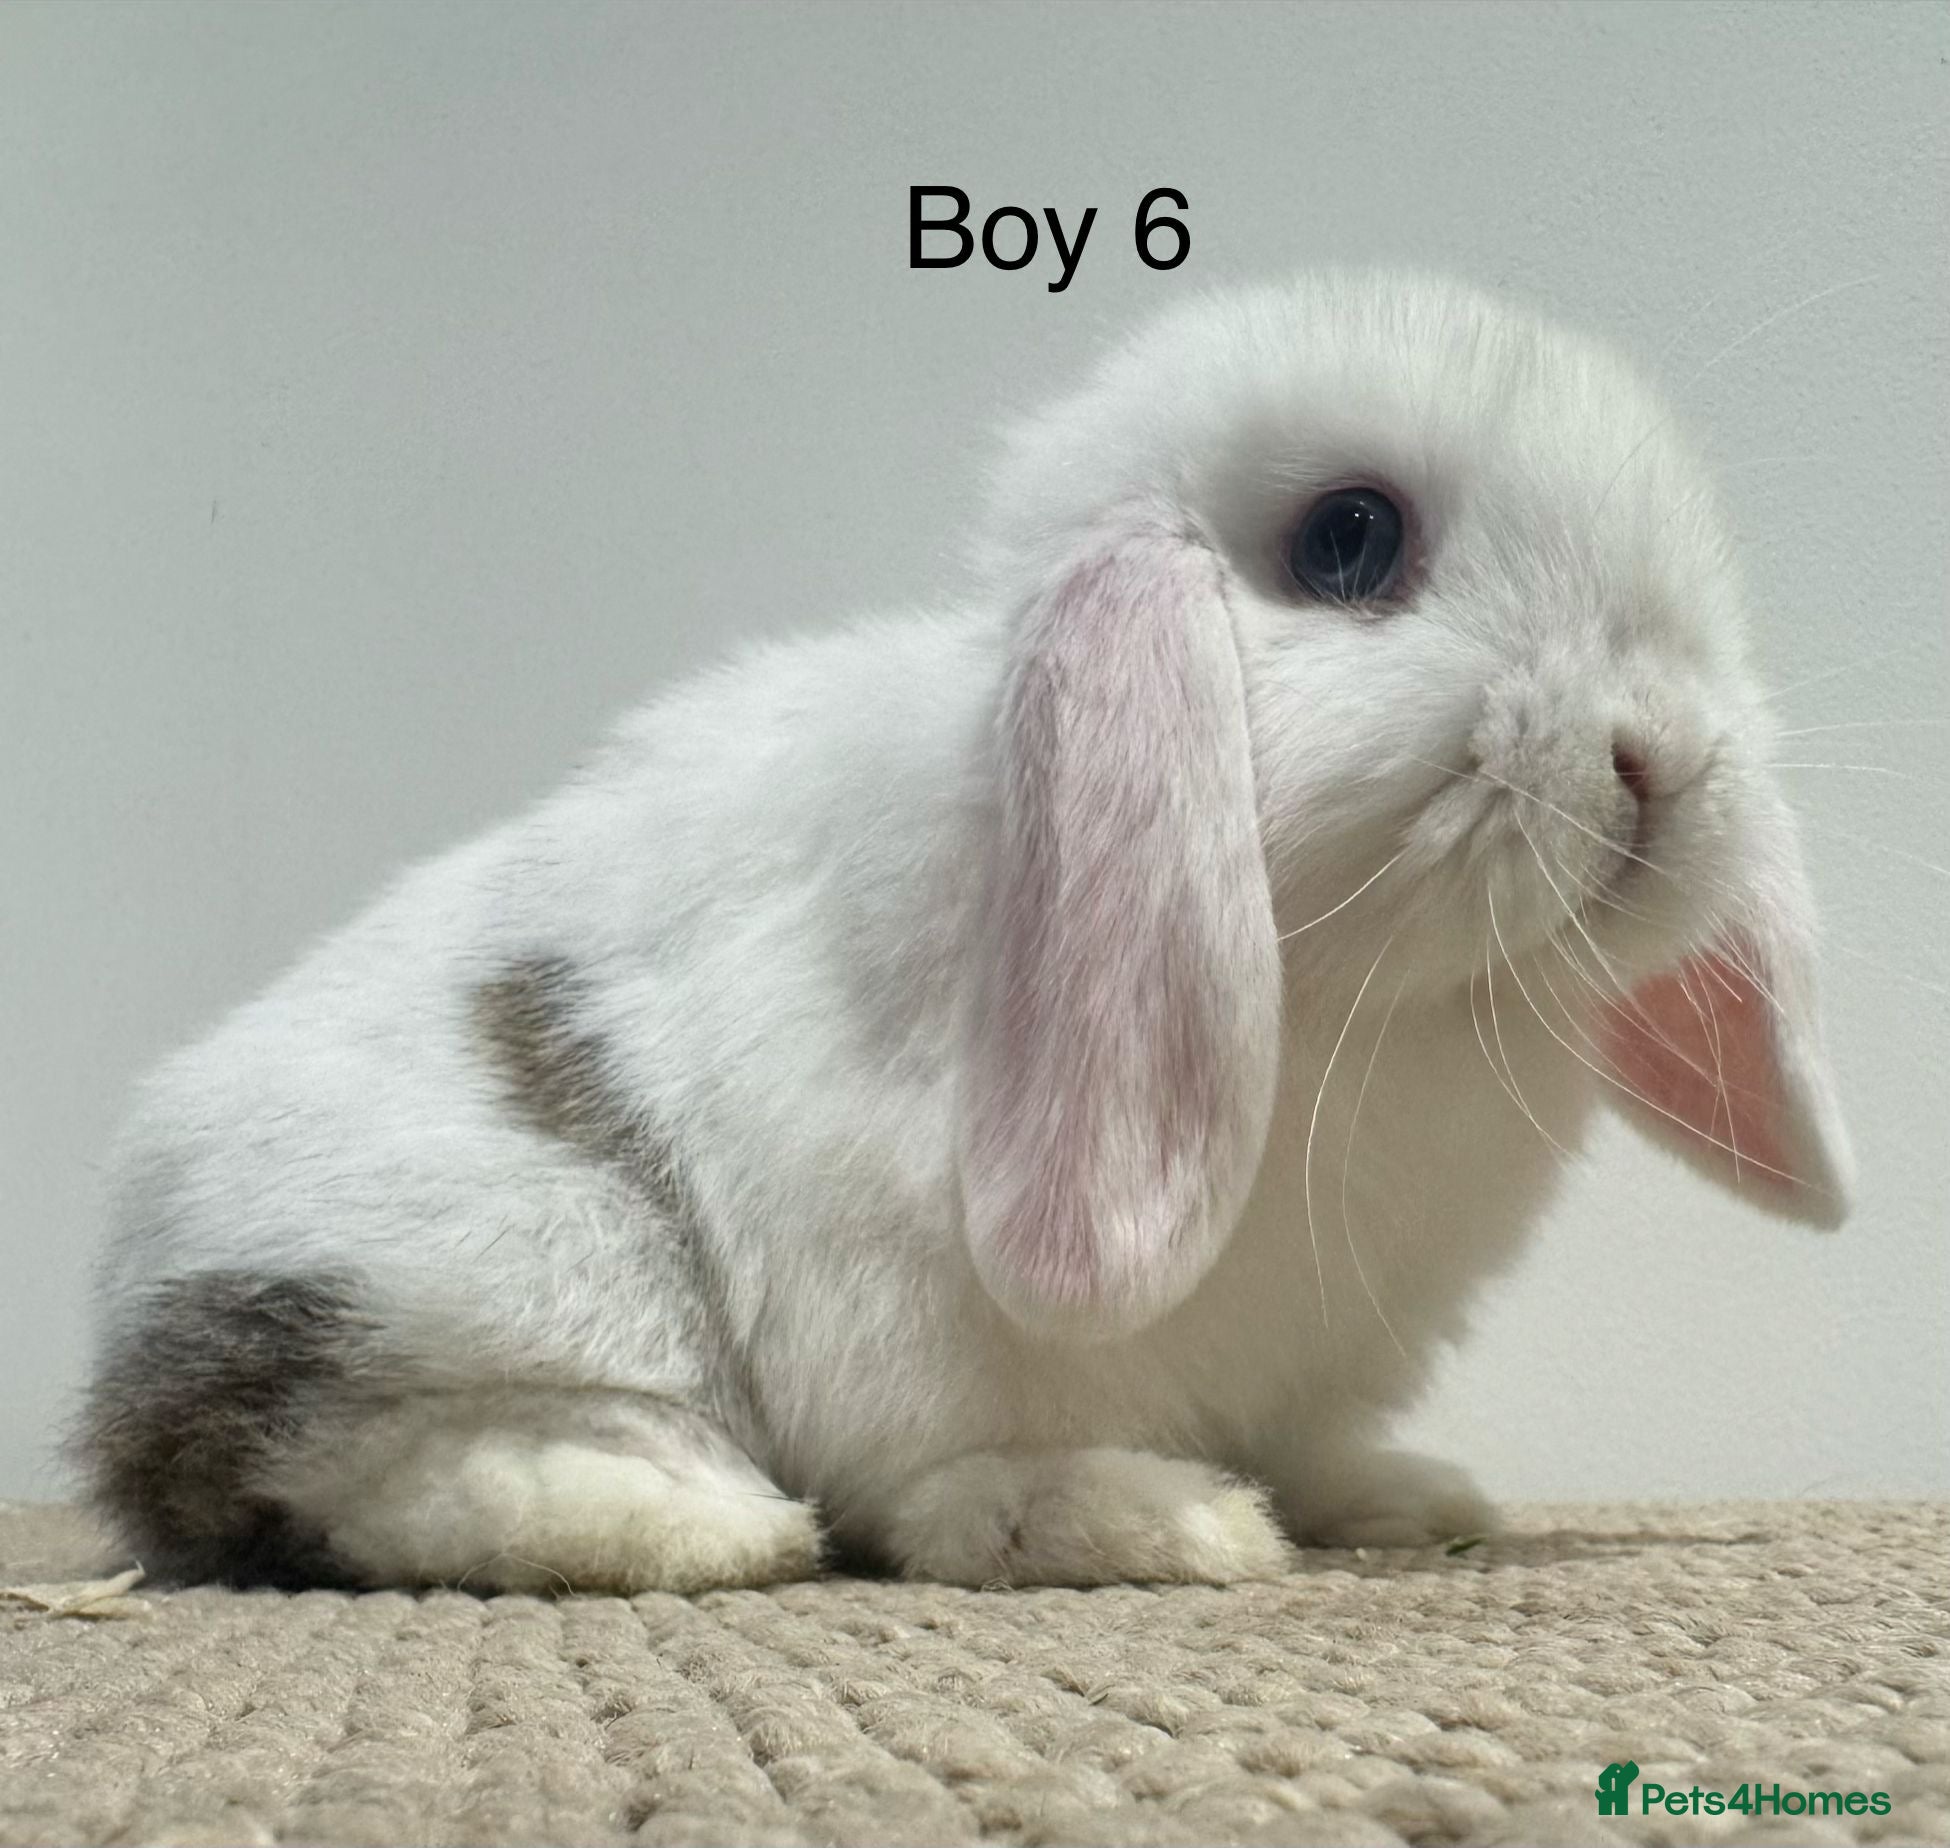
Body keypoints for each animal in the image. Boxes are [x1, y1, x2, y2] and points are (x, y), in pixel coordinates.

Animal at [77, 271, 1854, 1593]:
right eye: (1349, 540)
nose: (1659, 756)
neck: (1364, 991)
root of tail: (132, 1342)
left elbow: (1303, 1437)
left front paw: (1391, 1497)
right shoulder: (894, 1267)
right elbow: (960, 1460)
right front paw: (1143, 1521)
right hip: (516, 1259)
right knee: (347, 1463)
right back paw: (687, 1520)